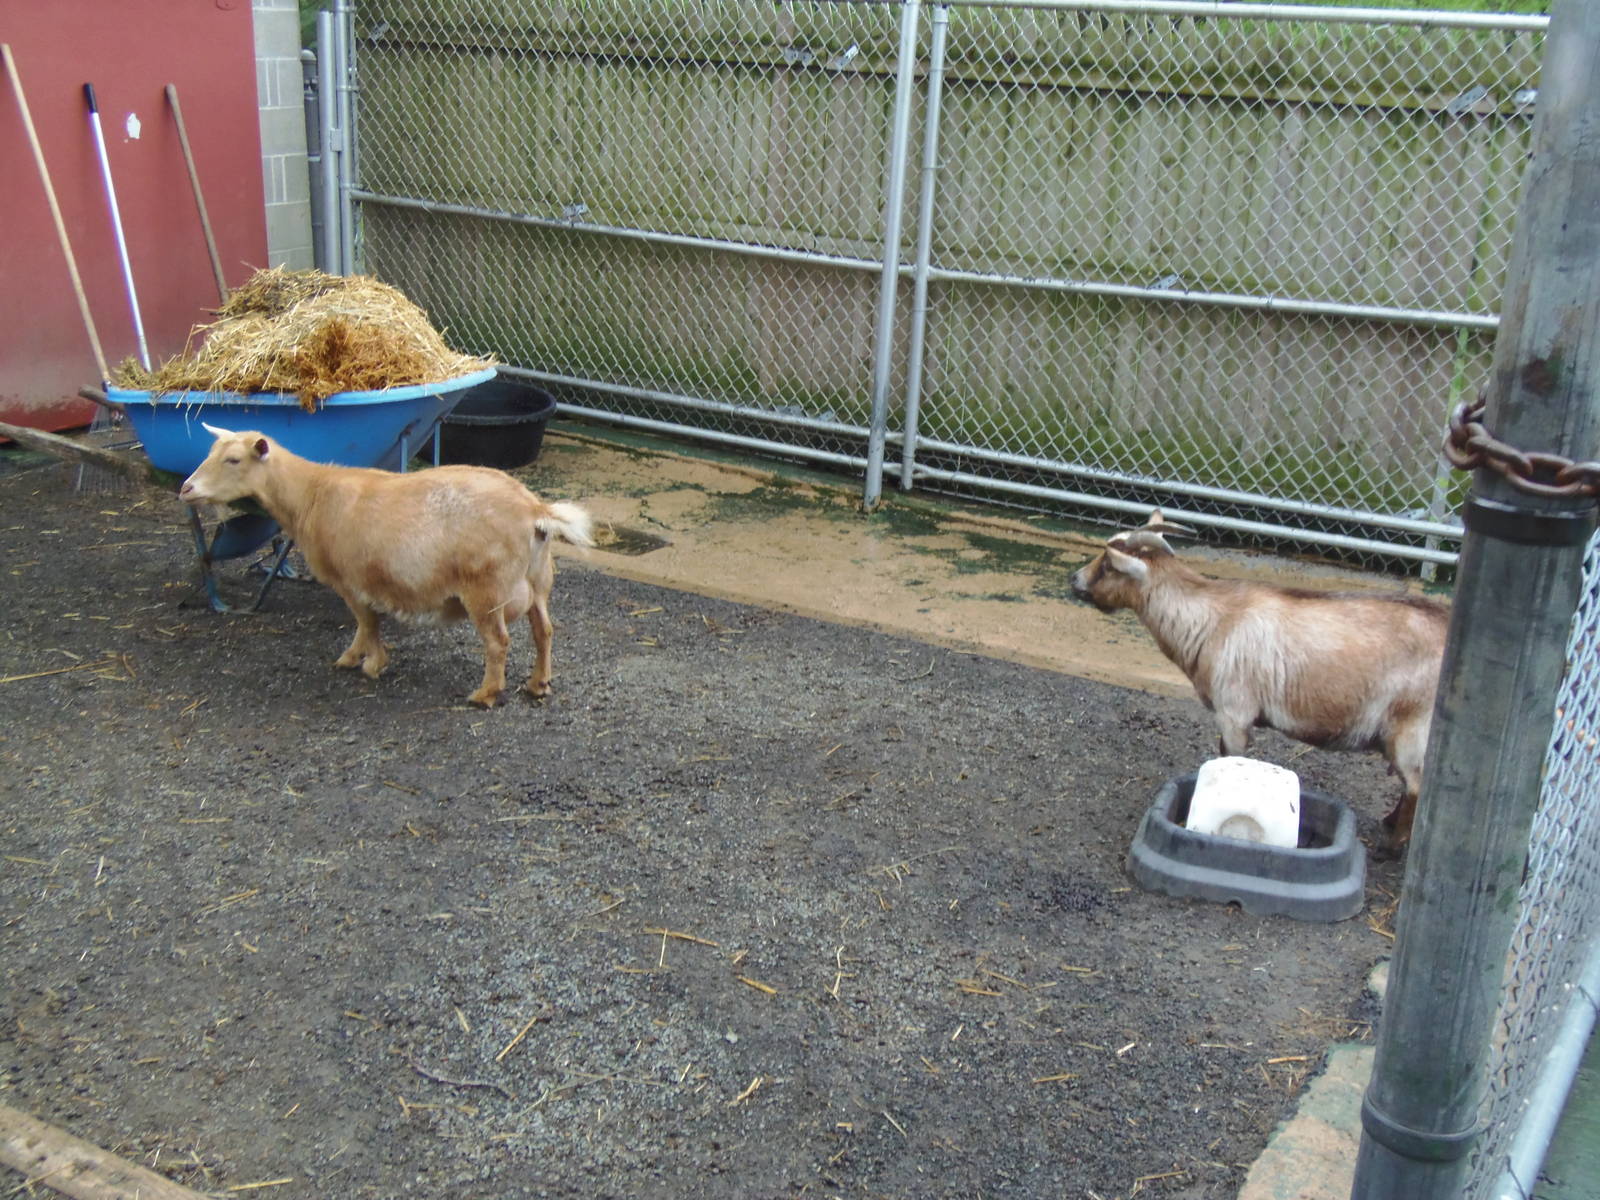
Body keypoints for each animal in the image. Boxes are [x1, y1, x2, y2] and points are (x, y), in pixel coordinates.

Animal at [180, 424, 593, 707]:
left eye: (233, 460)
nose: (186, 489)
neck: (311, 495)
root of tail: (534, 509)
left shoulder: (351, 580)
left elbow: (366, 621)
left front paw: (363, 662)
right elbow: (371, 621)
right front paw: (364, 659)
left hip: (486, 588)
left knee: (498, 642)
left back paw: (486, 694)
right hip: (538, 580)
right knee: (544, 631)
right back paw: (538, 685)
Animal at [1070, 511, 1448, 849]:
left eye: (1108, 565)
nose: (1075, 580)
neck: (1212, 619)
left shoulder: (1234, 712)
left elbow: (1229, 757)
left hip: (1411, 727)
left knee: (1416, 785)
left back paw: (1392, 847)